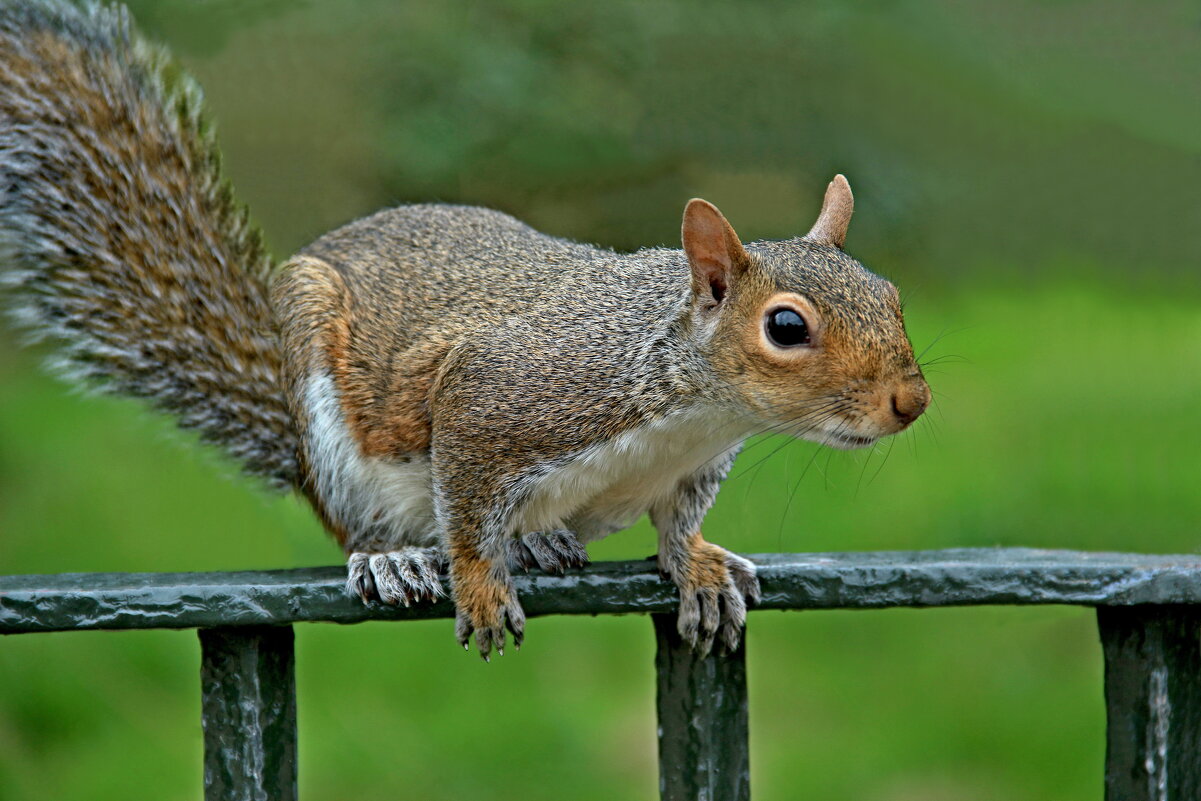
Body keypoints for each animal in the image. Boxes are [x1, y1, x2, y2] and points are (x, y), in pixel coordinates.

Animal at [0, 0, 927, 658]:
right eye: (785, 326)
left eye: (889, 295)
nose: (910, 403)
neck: (686, 406)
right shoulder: (498, 395)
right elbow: (467, 498)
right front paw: (480, 585)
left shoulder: (692, 462)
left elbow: (678, 521)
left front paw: (694, 563)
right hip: (325, 421)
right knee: (361, 520)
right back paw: (392, 556)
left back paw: (543, 538)